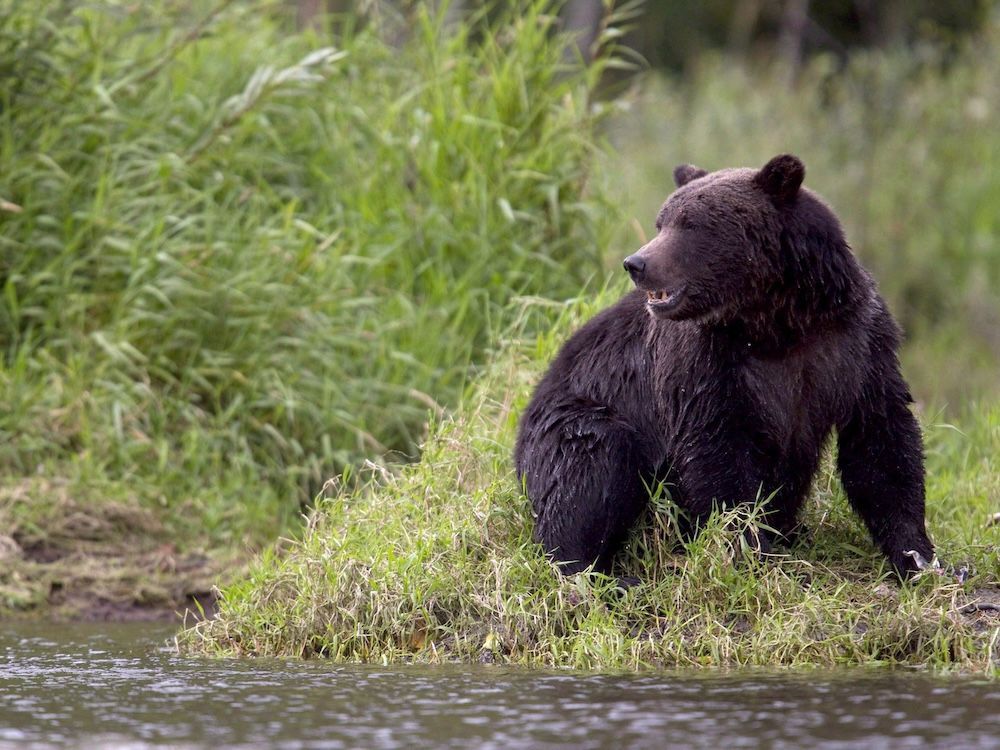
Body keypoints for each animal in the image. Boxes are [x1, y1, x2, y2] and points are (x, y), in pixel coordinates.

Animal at [514, 154, 935, 580]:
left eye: (690, 224)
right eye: (661, 221)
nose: (637, 263)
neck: (777, 322)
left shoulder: (853, 343)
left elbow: (880, 440)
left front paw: (918, 555)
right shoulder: (705, 362)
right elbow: (716, 453)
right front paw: (751, 550)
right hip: (575, 415)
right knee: (588, 467)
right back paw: (597, 571)